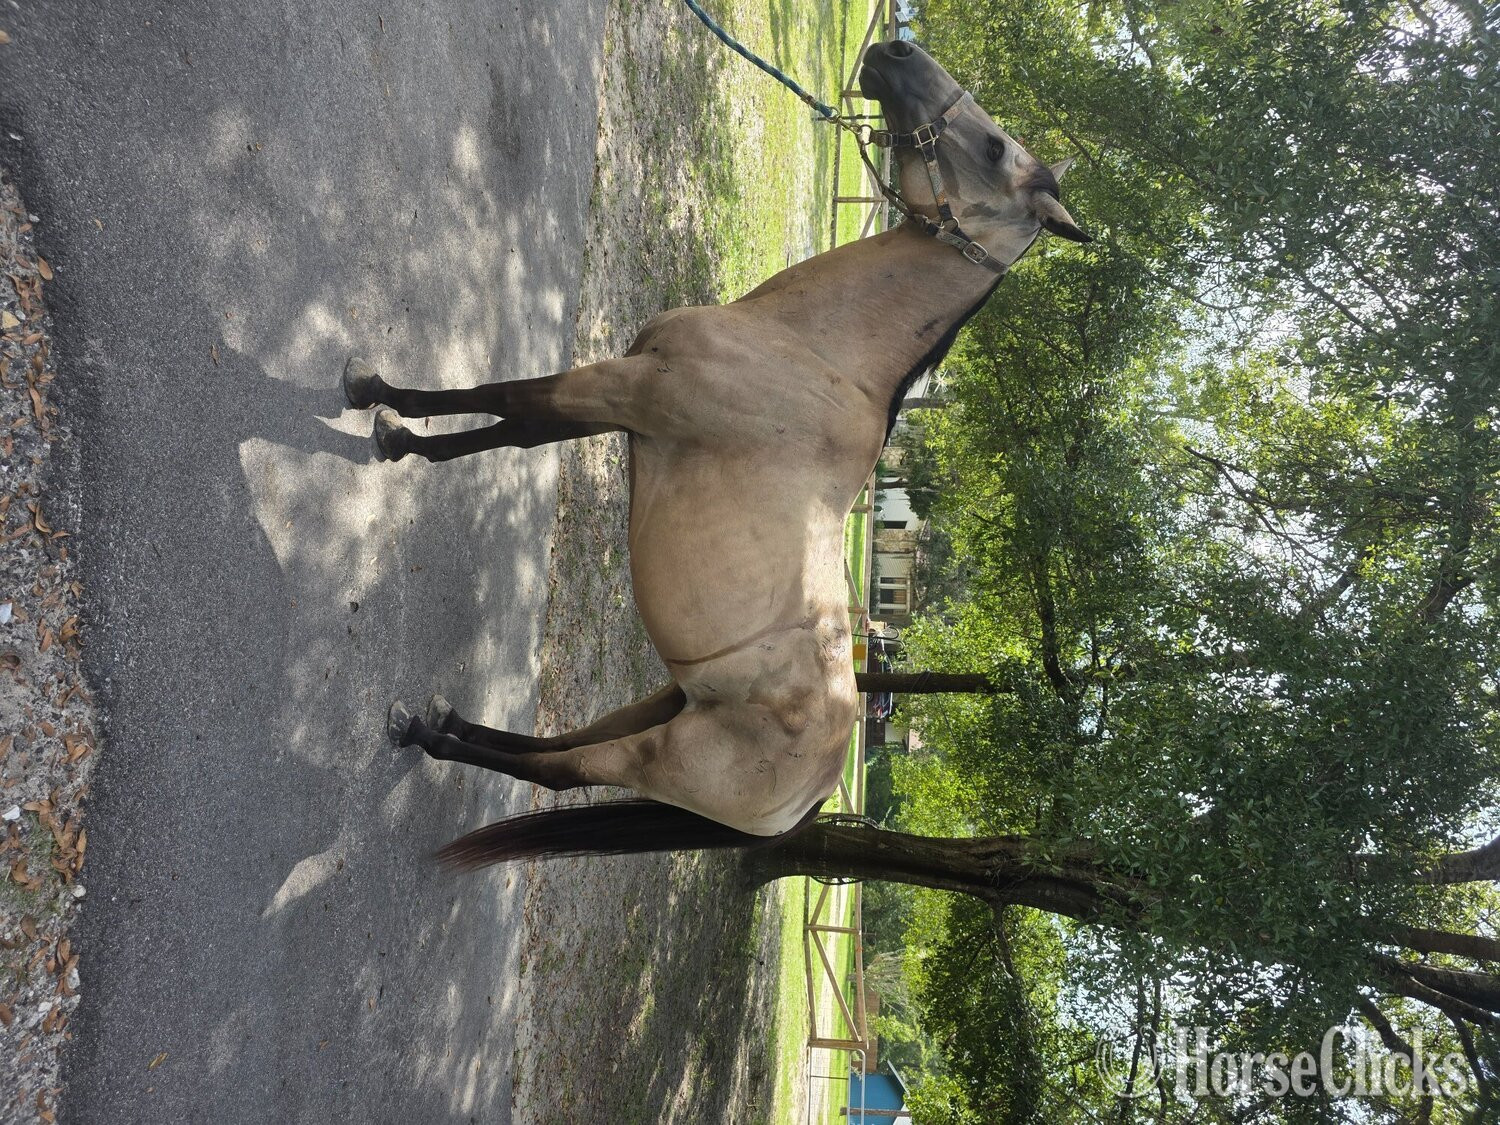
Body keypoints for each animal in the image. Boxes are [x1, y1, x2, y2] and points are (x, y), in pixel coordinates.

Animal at [344, 40, 1090, 868]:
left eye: (993, 148)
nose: (895, 50)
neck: (813, 354)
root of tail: (814, 794)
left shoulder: (626, 388)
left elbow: (509, 398)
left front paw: (382, 406)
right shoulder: (626, 400)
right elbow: (517, 426)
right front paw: (402, 434)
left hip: (658, 755)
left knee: (563, 768)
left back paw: (427, 735)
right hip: (666, 700)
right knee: (565, 741)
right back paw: (447, 721)